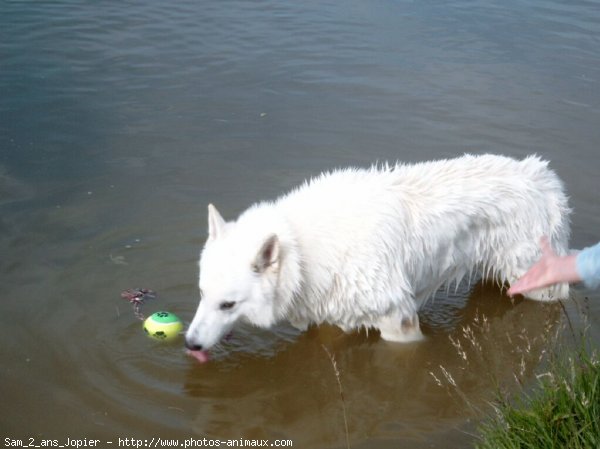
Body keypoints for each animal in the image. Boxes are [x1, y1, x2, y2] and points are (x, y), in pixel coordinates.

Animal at [185, 154, 568, 360]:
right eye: (202, 294)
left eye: (228, 305)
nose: (189, 344)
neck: (303, 254)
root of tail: (545, 179)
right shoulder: (333, 314)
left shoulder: (399, 321)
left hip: (535, 282)